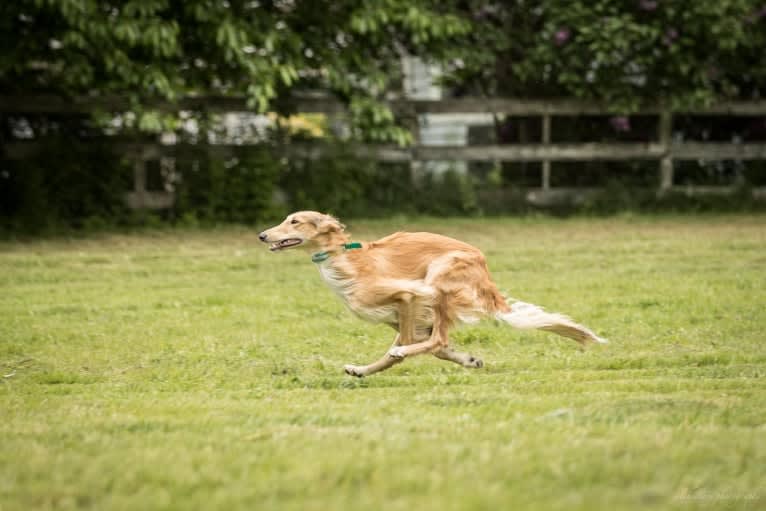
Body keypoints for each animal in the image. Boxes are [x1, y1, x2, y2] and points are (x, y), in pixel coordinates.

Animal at [260, 211, 608, 376]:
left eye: (295, 221)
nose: (262, 235)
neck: (343, 259)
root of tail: (484, 268)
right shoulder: (408, 319)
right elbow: (426, 350)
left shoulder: (409, 297)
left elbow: (408, 348)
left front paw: (390, 357)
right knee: (437, 344)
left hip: (440, 278)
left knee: (436, 339)